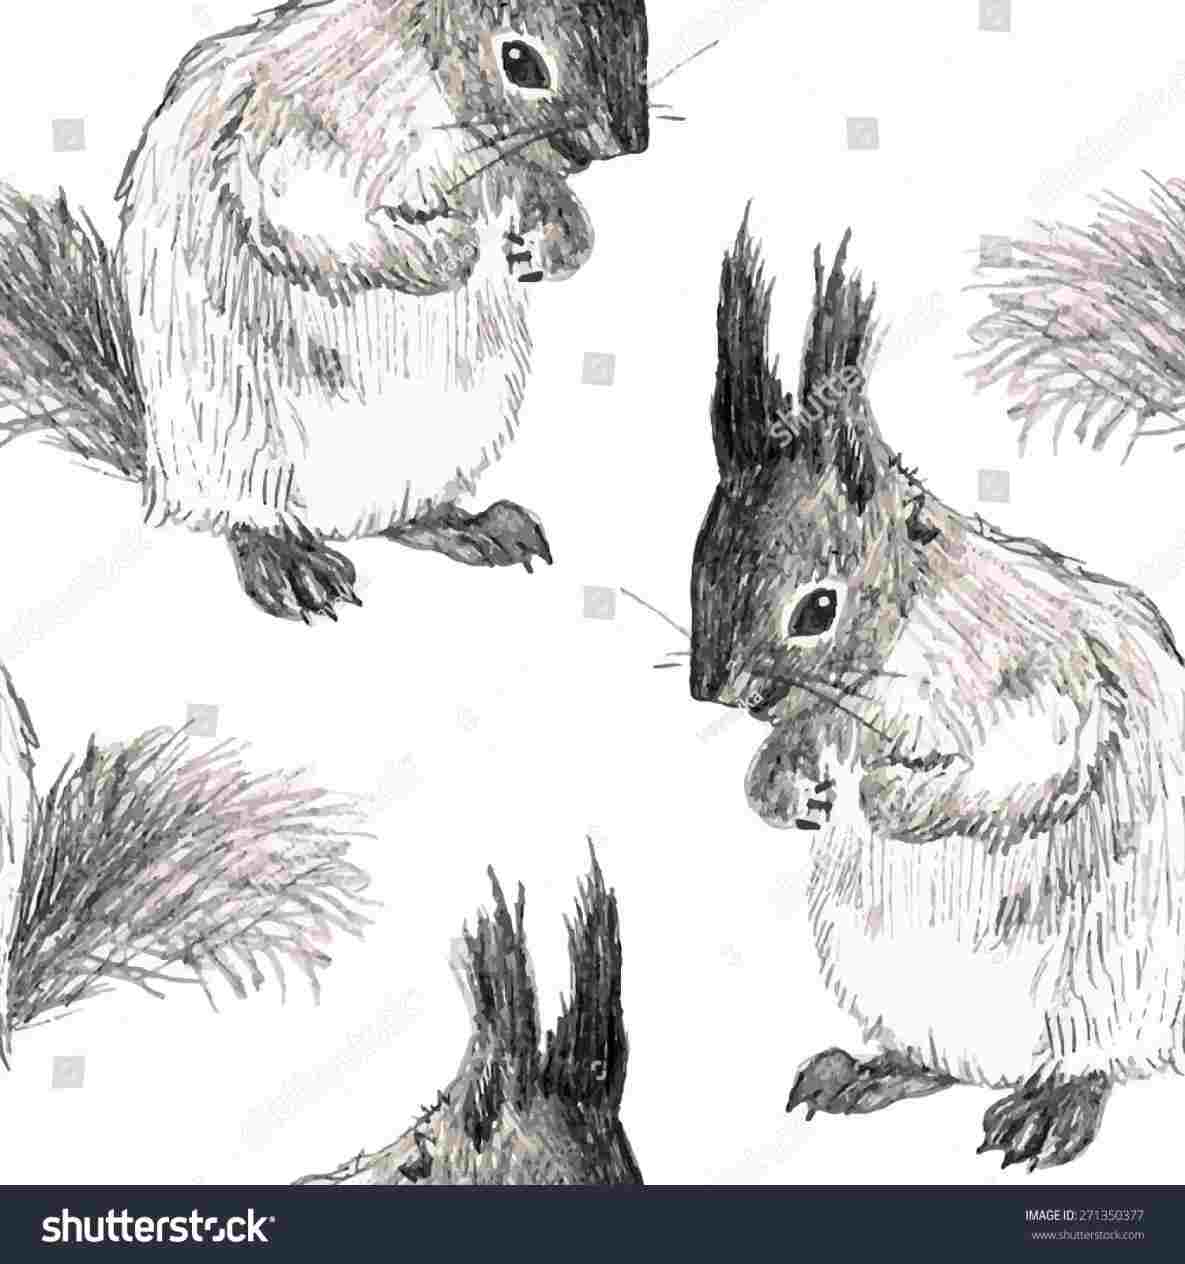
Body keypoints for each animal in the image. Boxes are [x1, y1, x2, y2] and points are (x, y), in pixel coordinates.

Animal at [0, 0, 649, 622]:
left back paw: (472, 528)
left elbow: (550, 201)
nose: (624, 143)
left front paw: (553, 244)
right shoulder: (303, 127)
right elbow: (309, 216)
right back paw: (287, 564)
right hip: (232, 443)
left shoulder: (511, 174)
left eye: (640, 34)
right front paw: (443, 252)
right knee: (243, 517)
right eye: (520, 62)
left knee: (410, 516)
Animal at [688, 210, 1185, 1172]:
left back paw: (1051, 1106)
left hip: (1118, 972)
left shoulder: (1046, 681)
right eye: (698, 565)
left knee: (1092, 1058)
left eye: (817, 607)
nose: (718, 693)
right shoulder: (827, 721)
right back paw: (867, 1074)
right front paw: (787, 792)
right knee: (937, 1062)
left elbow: (1031, 765)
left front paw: (891, 798)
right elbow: (790, 752)